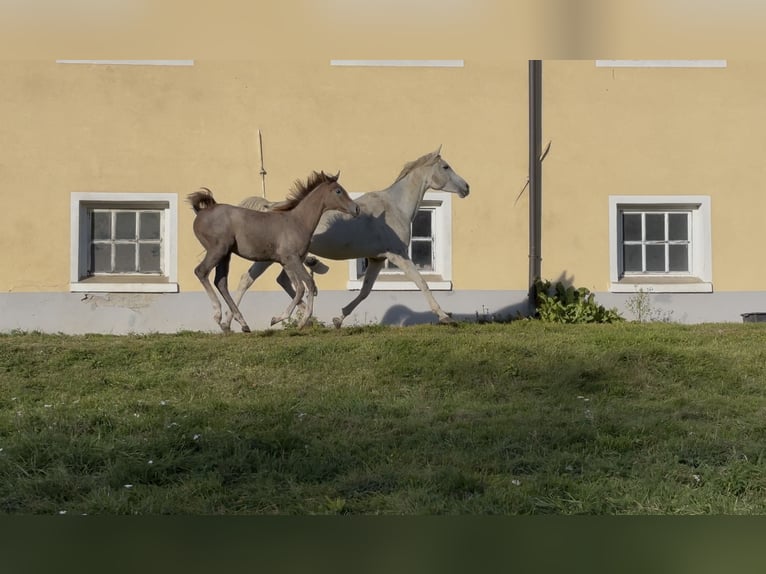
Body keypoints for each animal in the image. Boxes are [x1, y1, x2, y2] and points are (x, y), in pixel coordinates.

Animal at [187, 171, 360, 333]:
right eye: (338, 191)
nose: (356, 209)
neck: (297, 222)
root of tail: (200, 212)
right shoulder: (292, 259)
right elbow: (308, 284)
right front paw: (301, 321)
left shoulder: (287, 262)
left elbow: (298, 287)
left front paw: (279, 318)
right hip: (218, 250)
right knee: (201, 272)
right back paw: (218, 315)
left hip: (226, 255)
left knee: (221, 282)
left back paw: (241, 323)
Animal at [225, 147, 470, 329]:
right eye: (445, 167)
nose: (466, 187)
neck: (394, 206)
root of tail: (267, 207)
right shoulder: (397, 255)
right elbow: (422, 283)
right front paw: (444, 316)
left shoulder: (377, 259)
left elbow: (365, 291)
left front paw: (338, 319)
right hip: (271, 258)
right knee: (248, 280)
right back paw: (236, 322)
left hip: (286, 258)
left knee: (280, 281)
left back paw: (300, 317)